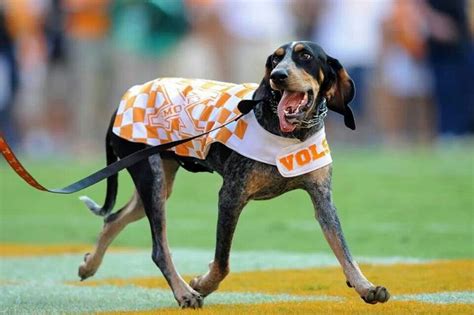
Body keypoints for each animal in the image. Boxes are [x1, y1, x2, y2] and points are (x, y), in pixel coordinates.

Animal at [77, 41, 388, 308]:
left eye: (306, 56)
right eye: (275, 59)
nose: (278, 76)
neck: (289, 132)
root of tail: (123, 101)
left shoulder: (322, 199)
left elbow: (344, 251)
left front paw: (365, 287)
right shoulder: (230, 196)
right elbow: (222, 262)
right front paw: (202, 284)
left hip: (156, 184)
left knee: (114, 218)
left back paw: (89, 265)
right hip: (150, 180)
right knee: (158, 248)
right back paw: (183, 293)